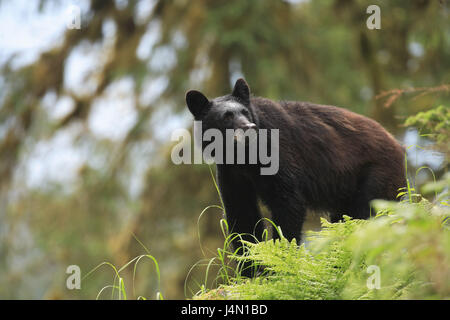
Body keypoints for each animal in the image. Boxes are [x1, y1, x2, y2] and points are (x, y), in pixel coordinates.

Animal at [185, 78, 406, 276]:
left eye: (245, 112)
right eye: (226, 116)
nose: (249, 128)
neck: (244, 157)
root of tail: (398, 145)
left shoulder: (279, 153)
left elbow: (288, 201)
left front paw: (278, 264)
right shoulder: (231, 173)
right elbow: (241, 213)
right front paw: (249, 270)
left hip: (375, 176)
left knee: (366, 217)